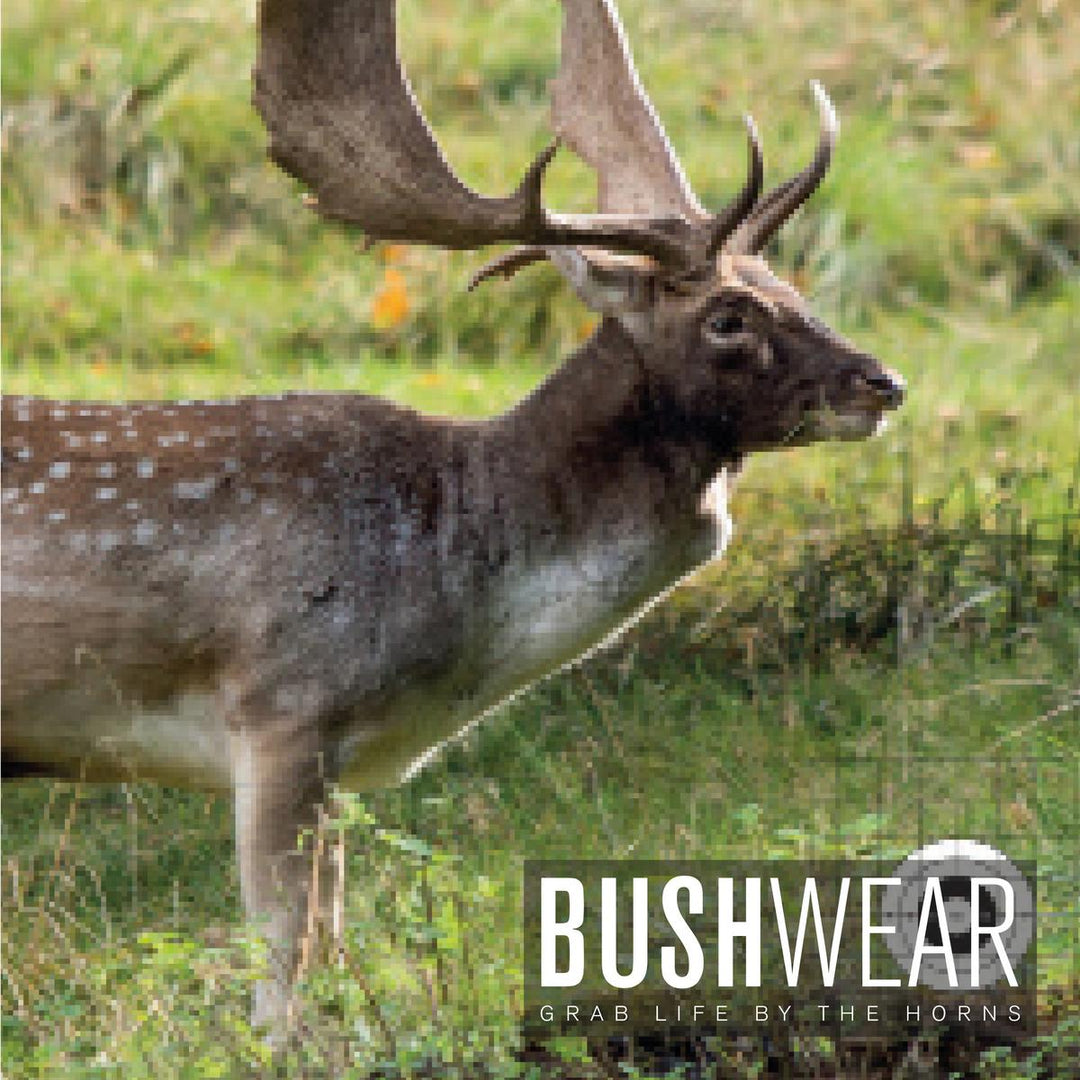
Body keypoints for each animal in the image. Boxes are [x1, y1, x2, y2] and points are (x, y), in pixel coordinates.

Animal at [2, 0, 904, 1037]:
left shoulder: (339, 764)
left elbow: (329, 946)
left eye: (796, 290)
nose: (882, 382)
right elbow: (286, 968)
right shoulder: (279, 708)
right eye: (728, 316)